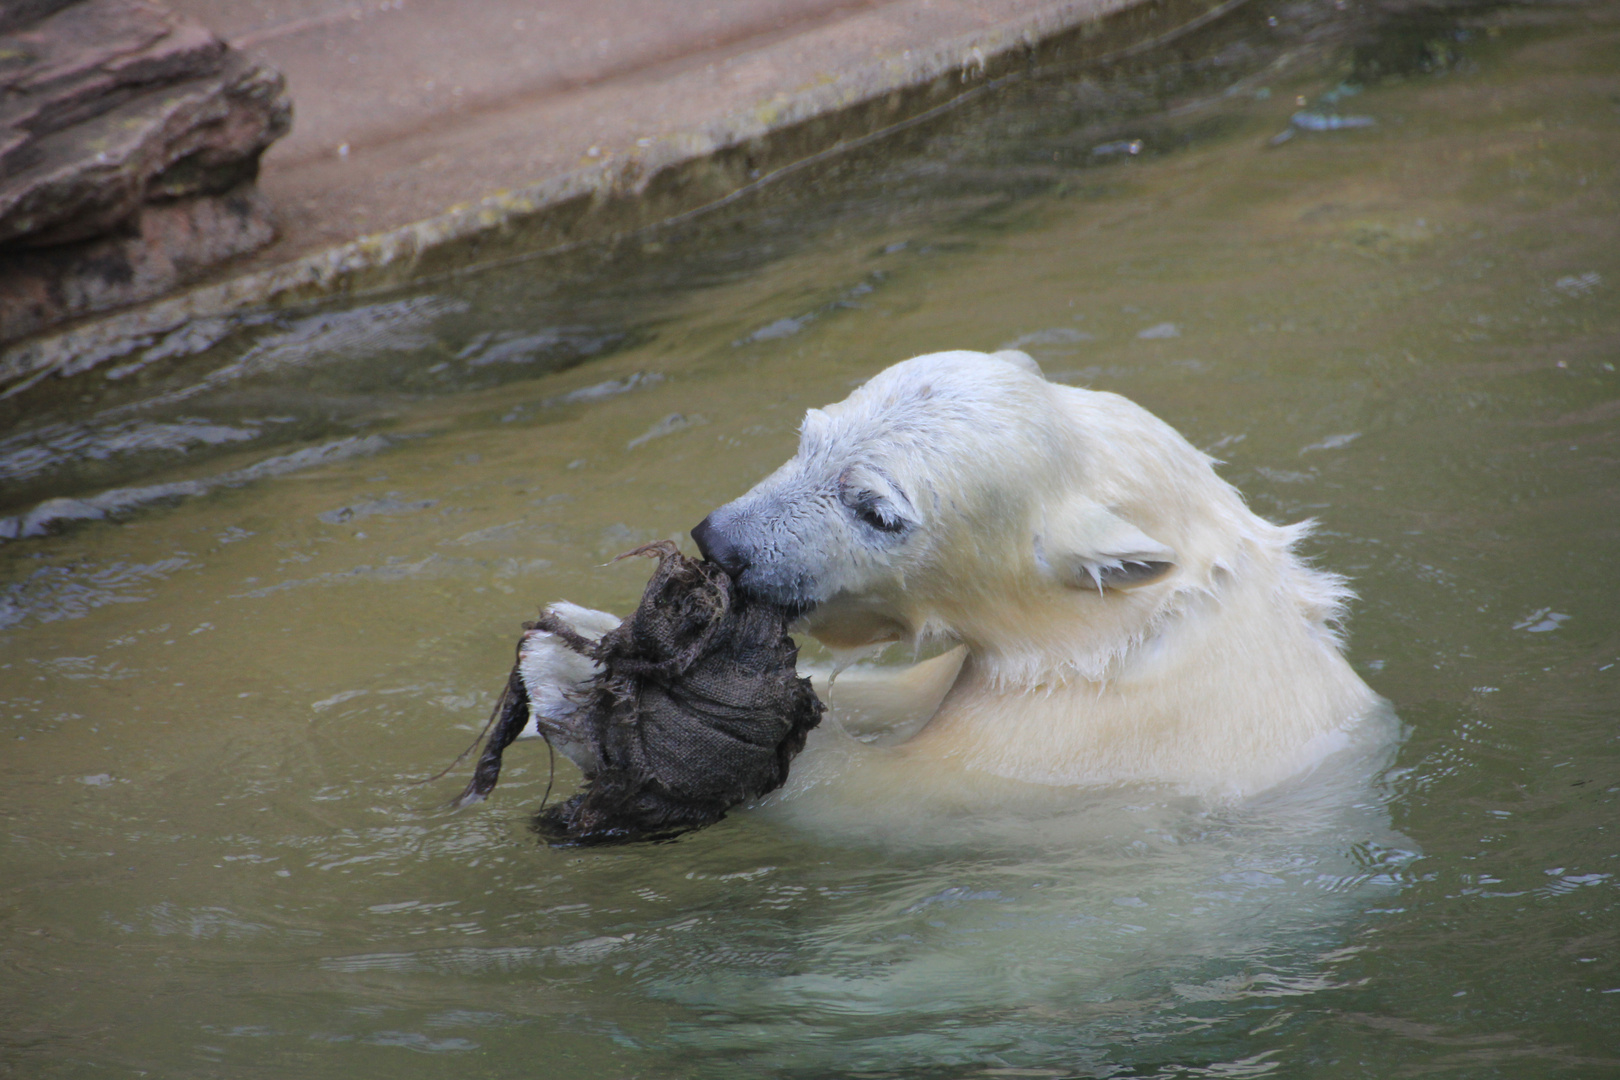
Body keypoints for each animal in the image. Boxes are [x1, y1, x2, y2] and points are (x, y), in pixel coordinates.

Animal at [515, 351, 1380, 806]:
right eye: (808, 436)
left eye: (876, 510)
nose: (720, 541)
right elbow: (892, 695)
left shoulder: (1074, 743)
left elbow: (878, 792)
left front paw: (566, 675)